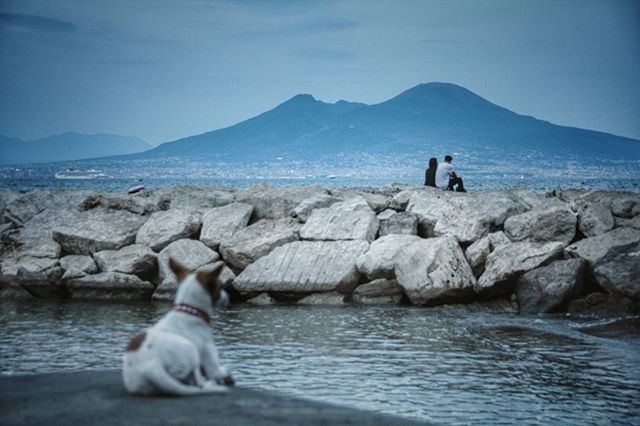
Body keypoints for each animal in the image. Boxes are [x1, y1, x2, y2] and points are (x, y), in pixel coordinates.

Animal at [121, 260, 234, 396]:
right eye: (219, 287)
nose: (227, 297)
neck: (189, 311)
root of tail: (150, 366)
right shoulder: (209, 353)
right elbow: (217, 371)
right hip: (191, 349)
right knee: (191, 377)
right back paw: (206, 383)